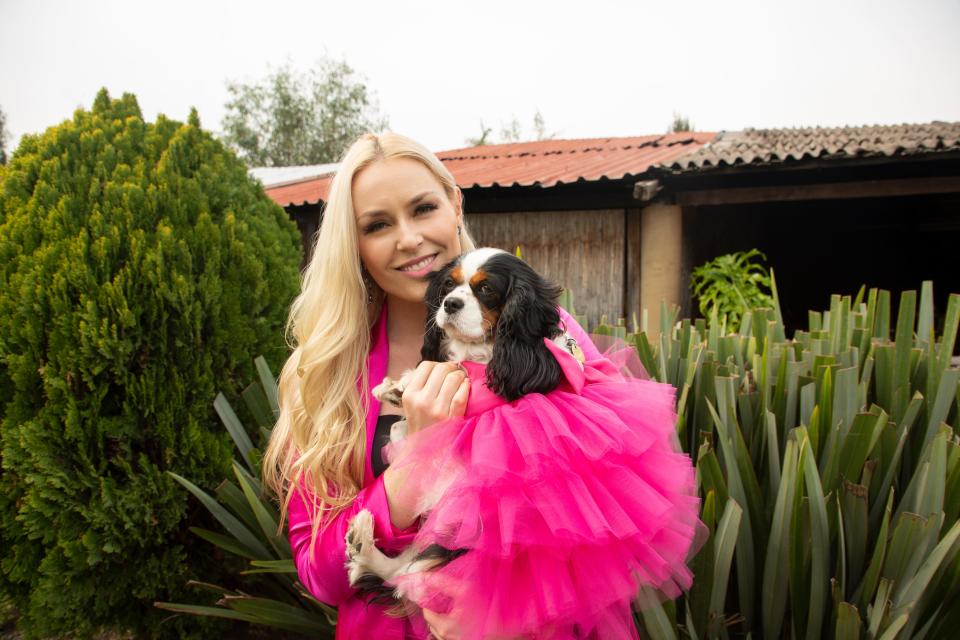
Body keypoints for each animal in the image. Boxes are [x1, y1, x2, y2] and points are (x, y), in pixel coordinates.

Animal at [344, 249, 584, 604]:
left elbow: (466, 376)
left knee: (410, 579)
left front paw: (404, 386)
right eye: (448, 285)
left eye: (485, 289)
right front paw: (396, 389)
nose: (450, 304)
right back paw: (361, 540)